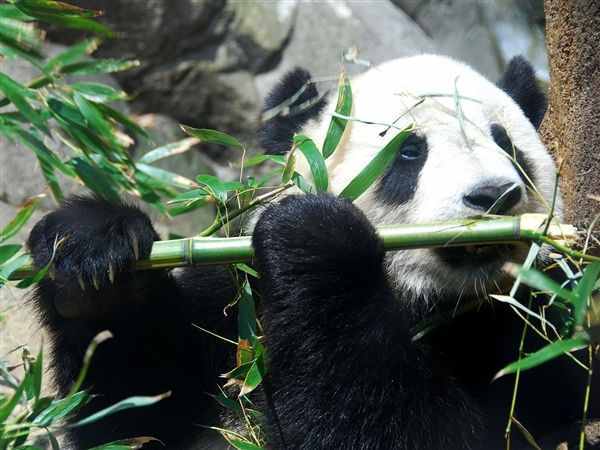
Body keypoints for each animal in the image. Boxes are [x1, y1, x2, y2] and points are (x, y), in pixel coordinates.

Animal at [27, 56, 596, 450]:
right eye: (409, 152)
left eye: (508, 146)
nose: (494, 196)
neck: (431, 303)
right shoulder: (235, 314)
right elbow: (139, 412)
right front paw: (91, 257)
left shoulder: (547, 334)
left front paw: (317, 240)